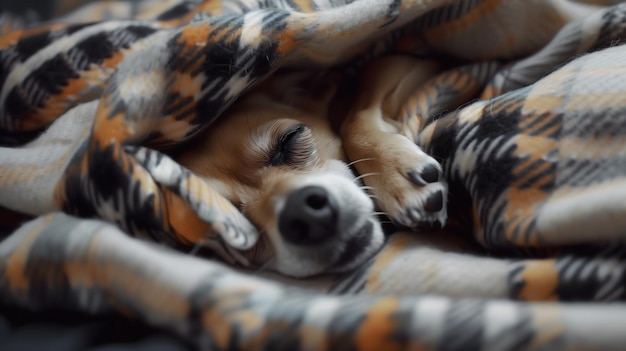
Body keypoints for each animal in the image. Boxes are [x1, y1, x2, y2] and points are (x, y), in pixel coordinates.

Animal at [176, 56, 448, 278]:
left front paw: (395, 175)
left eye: (290, 139)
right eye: (229, 224)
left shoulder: (399, 65)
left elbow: (354, 118)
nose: (304, 214)